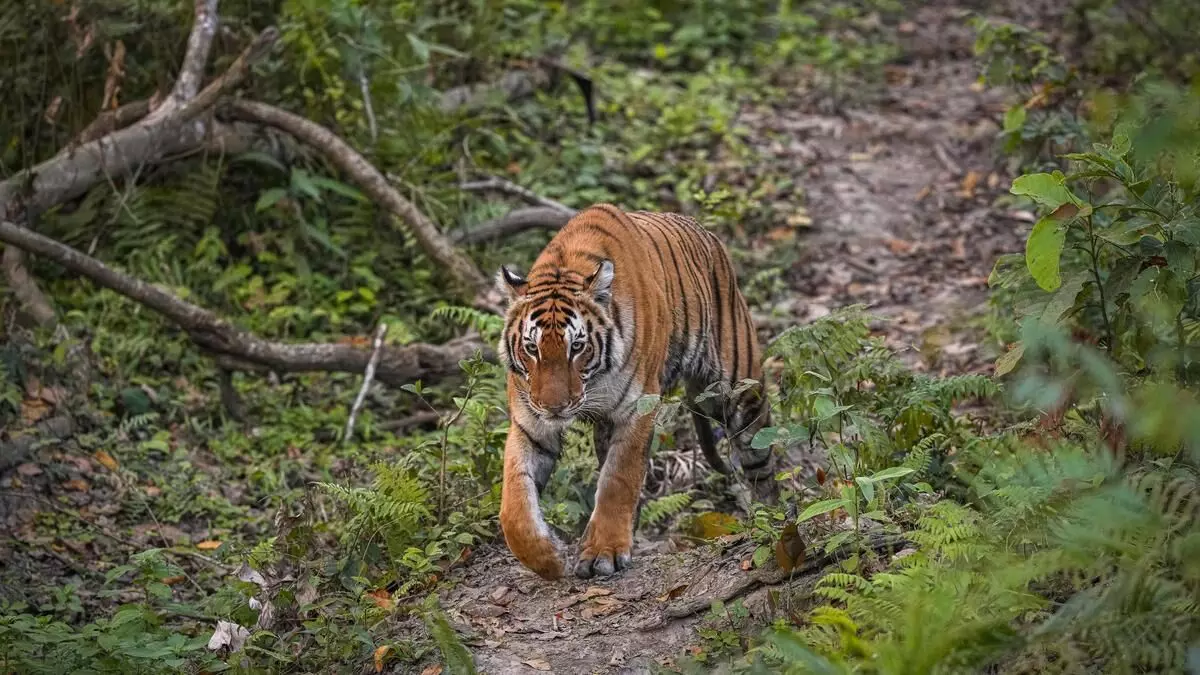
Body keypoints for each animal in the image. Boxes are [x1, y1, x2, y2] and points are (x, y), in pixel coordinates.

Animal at [495, 203, 775, 580]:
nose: (555, 407)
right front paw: (549, 560)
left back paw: (774, 518)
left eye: (576, 347)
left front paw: (604, 552)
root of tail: (707, 233)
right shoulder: (530, 424)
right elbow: (514, 503)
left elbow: (618, 479)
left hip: (736, 390)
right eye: (531, 348)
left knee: (761, 460)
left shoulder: (637, 408)